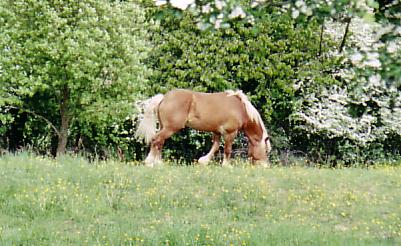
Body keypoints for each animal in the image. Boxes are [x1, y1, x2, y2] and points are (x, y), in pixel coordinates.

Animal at [135, 88, 272, 167]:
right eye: (266, 150)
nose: (266, 165)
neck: (240, 109)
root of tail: (164, 98)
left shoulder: (216, 132)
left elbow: (215, 147)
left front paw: (203, 161)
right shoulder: (230, 133)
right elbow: (227, 149)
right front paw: (227, 165)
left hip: (165, 127)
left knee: (160, 142)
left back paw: (158, 162)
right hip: (170, 128)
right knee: (156, 139)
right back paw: (149, 162)